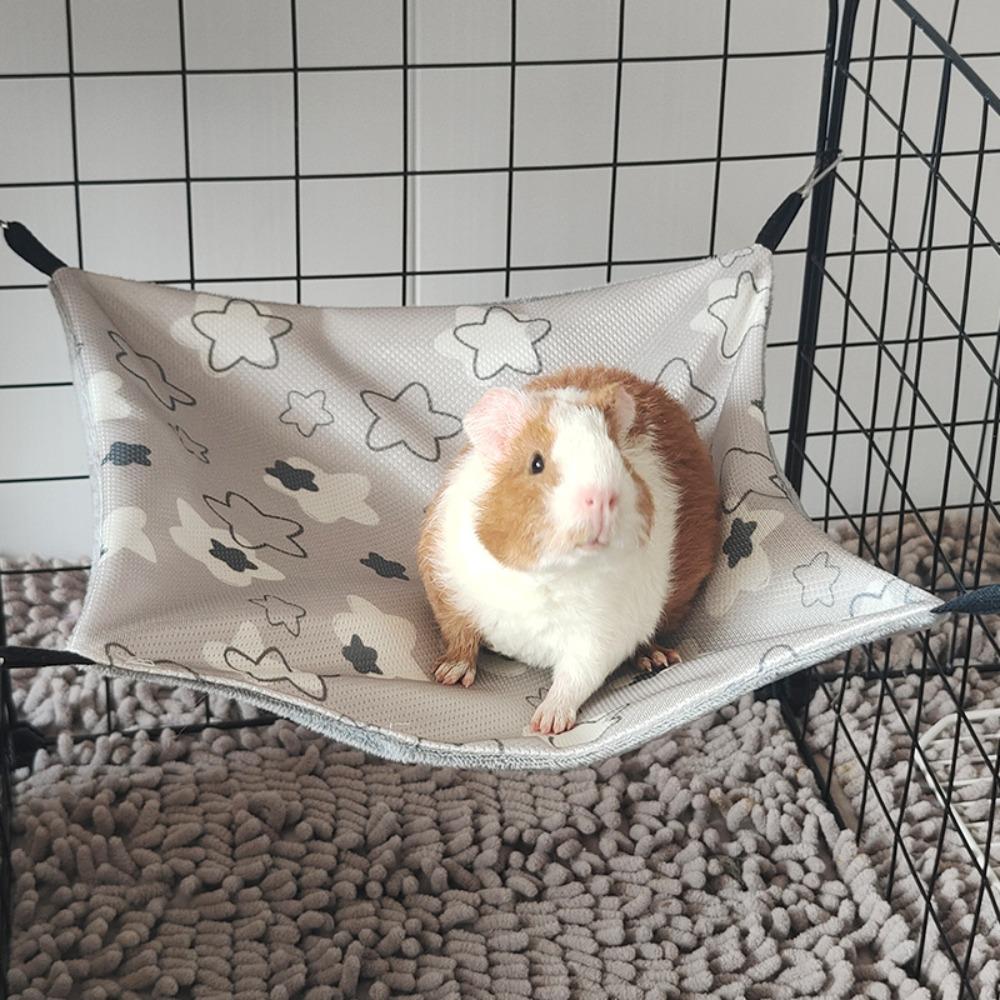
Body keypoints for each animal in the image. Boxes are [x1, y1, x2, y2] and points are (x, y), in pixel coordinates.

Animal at [418, 365, 720, 735]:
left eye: (619, 459)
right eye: (536, 463)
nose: (603, 497)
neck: (548, 575)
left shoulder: (600, 639)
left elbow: (574, 680)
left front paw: (545, 724)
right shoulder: (447, 587)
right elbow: (459, 637)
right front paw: (448, 676)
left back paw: (658, 659)